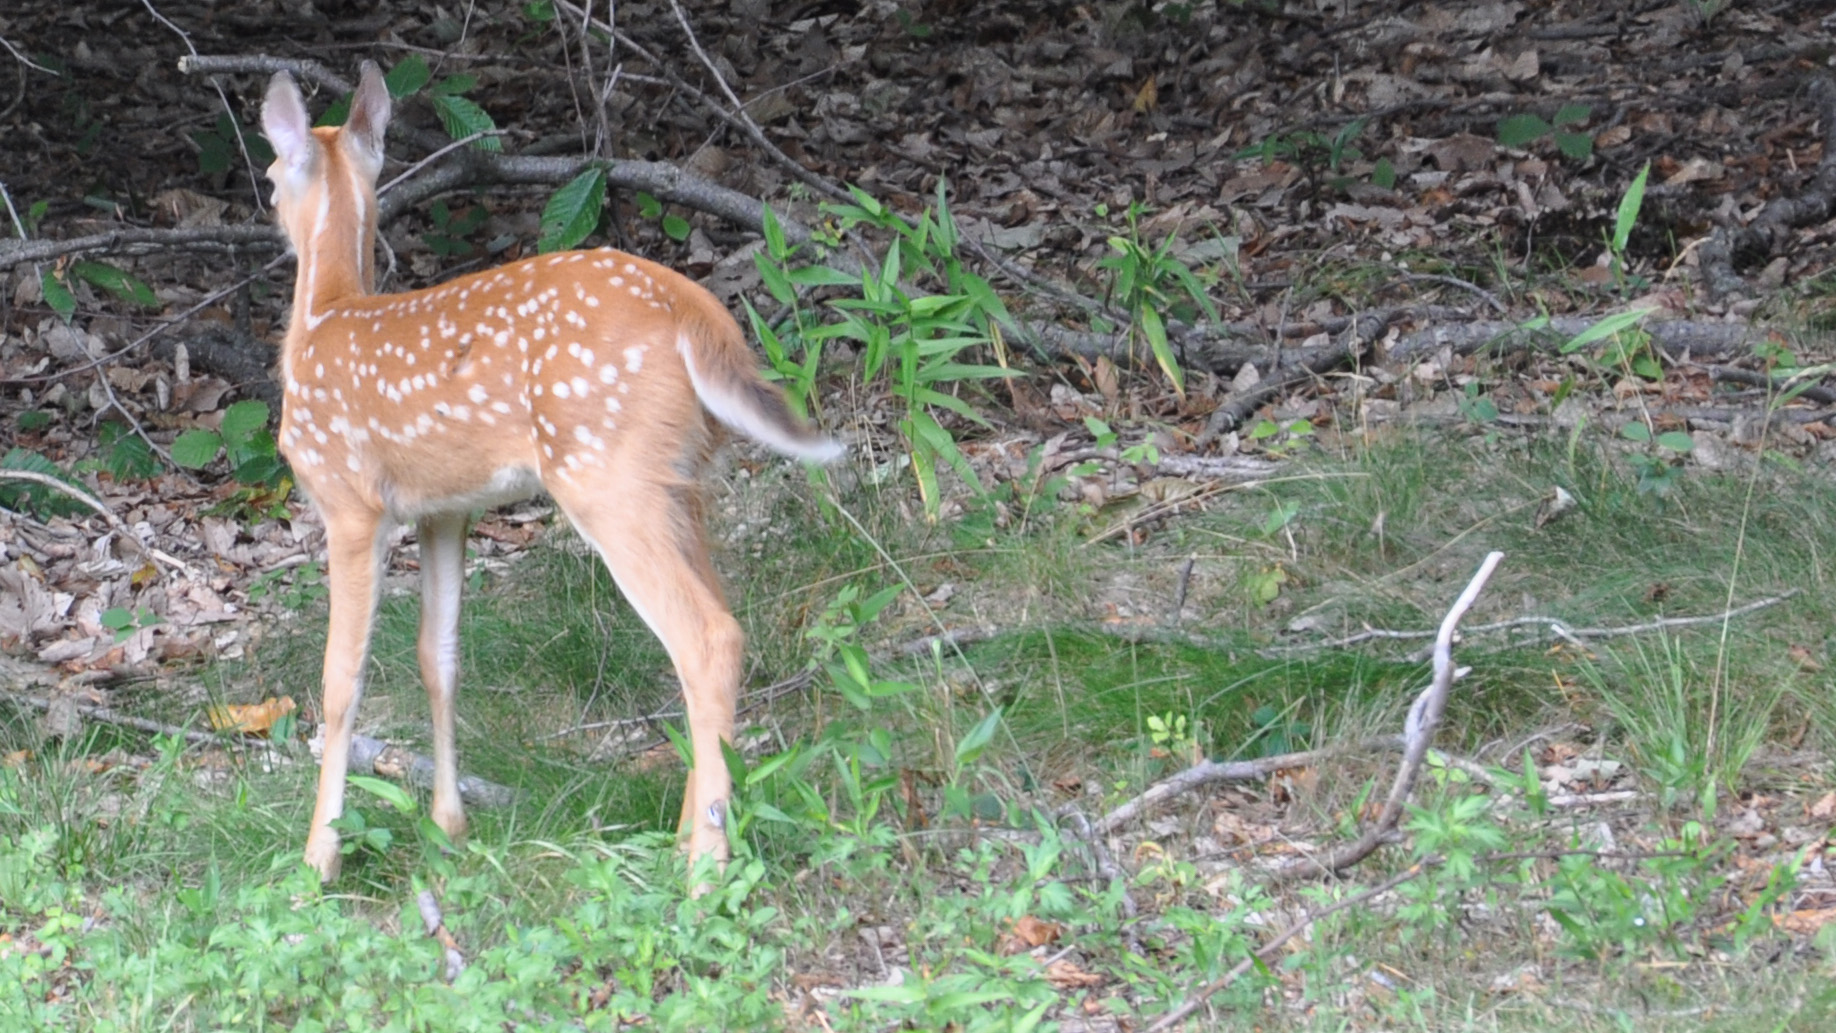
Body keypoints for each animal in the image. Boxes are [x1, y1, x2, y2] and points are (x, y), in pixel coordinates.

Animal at [258, 62, 841, 883]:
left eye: (272, 174)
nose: (268, 213)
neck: (325, 315)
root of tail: (695, 310)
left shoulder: (350, 502)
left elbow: (343, 678)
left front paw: (318, 859)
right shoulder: (447, 511)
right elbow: (439, 657)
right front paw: (450, 828)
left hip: (606, 473)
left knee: (709, 636)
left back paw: (705, 866)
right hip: (683, 480)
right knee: (714, 626)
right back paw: (683, 837)